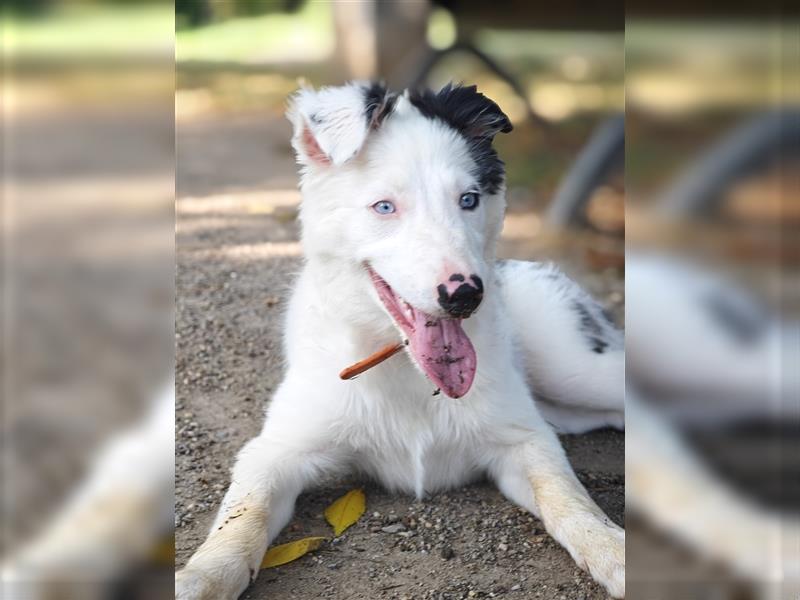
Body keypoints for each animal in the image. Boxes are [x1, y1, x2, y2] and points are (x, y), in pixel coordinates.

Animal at [173, 82, 624, 596]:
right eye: (384, 207)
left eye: (469, 199)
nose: (465, 295)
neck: (405, 366)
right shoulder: (274, 451)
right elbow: (244, 516)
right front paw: (203, 576)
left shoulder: (526, 439)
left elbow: (569, 500)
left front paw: (613, 550)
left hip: (577, 368)